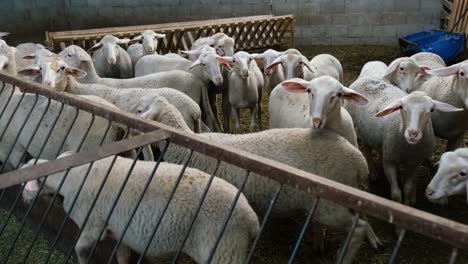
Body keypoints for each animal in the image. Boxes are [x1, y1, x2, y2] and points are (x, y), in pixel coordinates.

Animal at [22, 154, 260, 264]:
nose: (23, 198)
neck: (72, 177)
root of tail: (251, 218)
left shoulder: (92, 225)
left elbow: (80, 249)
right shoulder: (119, 231)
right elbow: (122, 255)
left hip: (224, 249)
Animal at [135, 96, 380, 262]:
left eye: (139, 109)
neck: (188, 147)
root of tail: (358, 160)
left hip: (328, 205)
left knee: (357, 226)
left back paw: (343, 256)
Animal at [346, 77, 462, 205]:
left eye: (432, 109)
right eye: (401, 107)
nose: (412, 134)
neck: (408, 149)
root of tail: (366, 78)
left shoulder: (414, 162)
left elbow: (408, 188)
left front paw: (407, 204)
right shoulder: (389, 161)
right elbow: (396, 194)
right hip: (359, 127)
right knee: (366, 148)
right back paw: (373, 173)